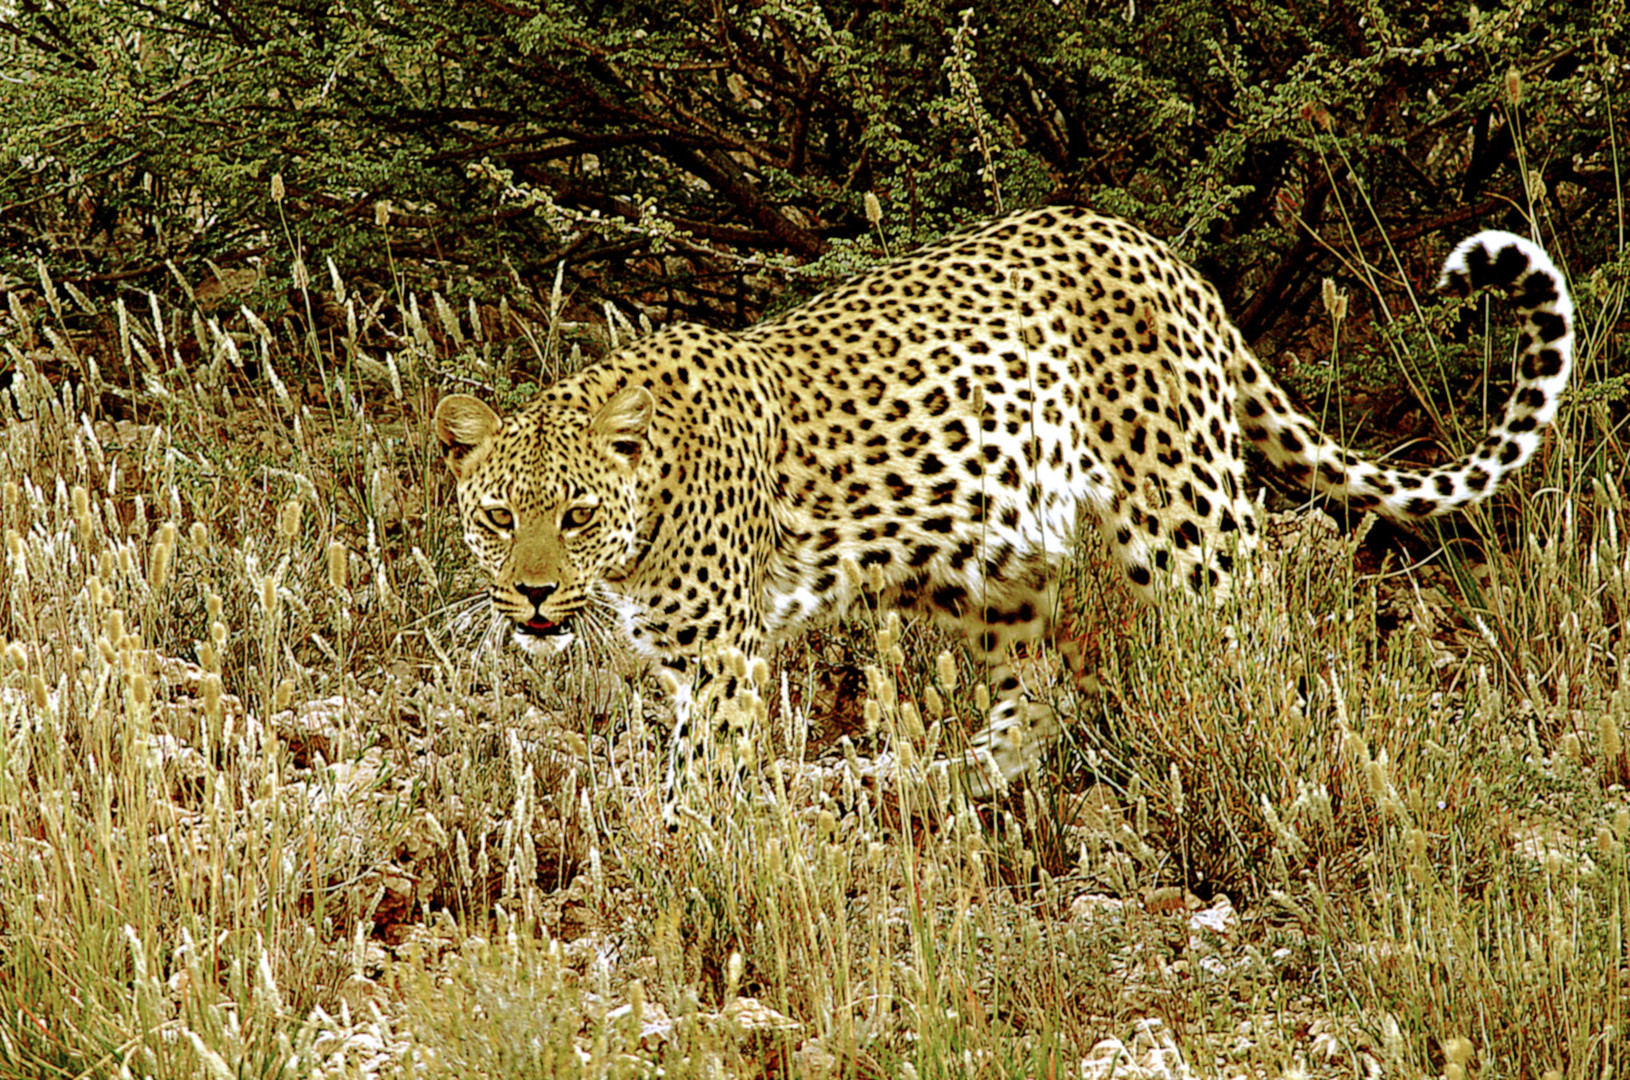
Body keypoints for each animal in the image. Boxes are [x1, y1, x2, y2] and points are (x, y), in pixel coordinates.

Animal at [430, 205, 1564, 811]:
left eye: (575, 514)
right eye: (498, 518)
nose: (532, 597)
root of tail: (1158, 249)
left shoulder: (722, 652)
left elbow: (700, 774)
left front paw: (680, 866)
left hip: (1187, 517)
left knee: (1257, 634)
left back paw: (1266, 763)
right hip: (984, 560)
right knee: (1044, 687)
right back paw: (935, 786)